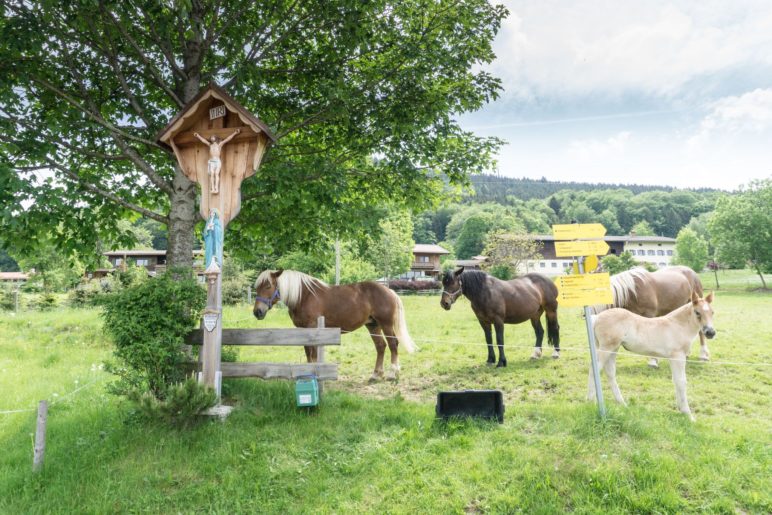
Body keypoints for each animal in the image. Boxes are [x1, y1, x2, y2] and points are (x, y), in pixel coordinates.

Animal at [253, 272, 414, 380]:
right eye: (257, 287)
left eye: (268, 285)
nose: (257, 312)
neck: (304, 296)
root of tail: (389, 291)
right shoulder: (303, 330)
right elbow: (308, 353)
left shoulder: (313, 329)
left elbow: (313, 354)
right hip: (373, 325)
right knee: (381, 346)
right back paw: (375, 375)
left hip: (386, 324)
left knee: (393, 345)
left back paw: (392, 373)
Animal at [592, 292, 716, 422]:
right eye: (697, 312)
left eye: (712, 312)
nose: (710, 333)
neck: (678, 326)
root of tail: (597, 317)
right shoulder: (678, 356)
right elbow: (681, 381)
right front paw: (688, 415)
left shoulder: (673, 358)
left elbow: (676, 381)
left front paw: (680, 409)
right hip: (606, 348)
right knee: (594, 369)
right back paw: (590, 402)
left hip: (613, 349)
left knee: (610, 373)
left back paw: (622, 404)